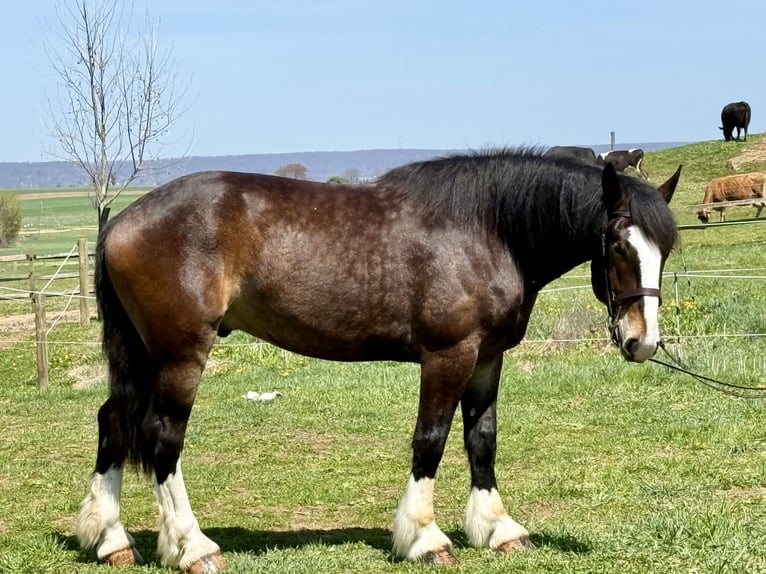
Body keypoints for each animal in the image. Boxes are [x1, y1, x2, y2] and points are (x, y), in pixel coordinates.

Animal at [76, 149, 681, 572]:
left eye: (666, 249)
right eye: (618, 244)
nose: (642, 342)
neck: (486, 230)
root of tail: (121, 222)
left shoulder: (487, 358)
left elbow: (481, 439)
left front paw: (499, 529)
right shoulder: (448, 356)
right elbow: (430, 441)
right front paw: (425, 538)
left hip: (142, 356)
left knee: (113, 422)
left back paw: (111, 540)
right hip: (180, 354)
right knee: (162, 437)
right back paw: (192, 546)